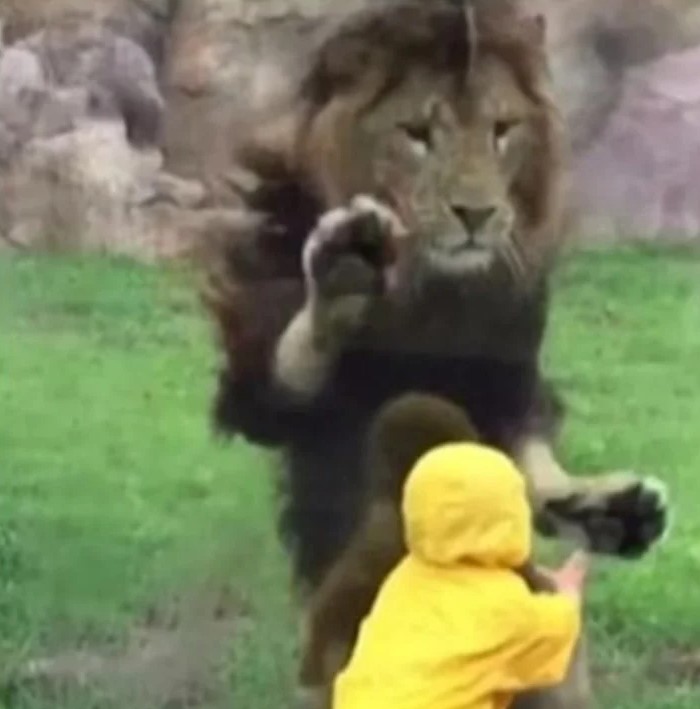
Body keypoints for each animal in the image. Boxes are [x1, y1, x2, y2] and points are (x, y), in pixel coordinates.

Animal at [201, 0, 667, 705]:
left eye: (502, 130)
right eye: (418, 133)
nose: (476, 214)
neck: (434, 298)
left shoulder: (506, 384)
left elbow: (522, 459)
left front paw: (605, 507)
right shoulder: (261, 378)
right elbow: (289, 359)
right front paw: (345, 266)